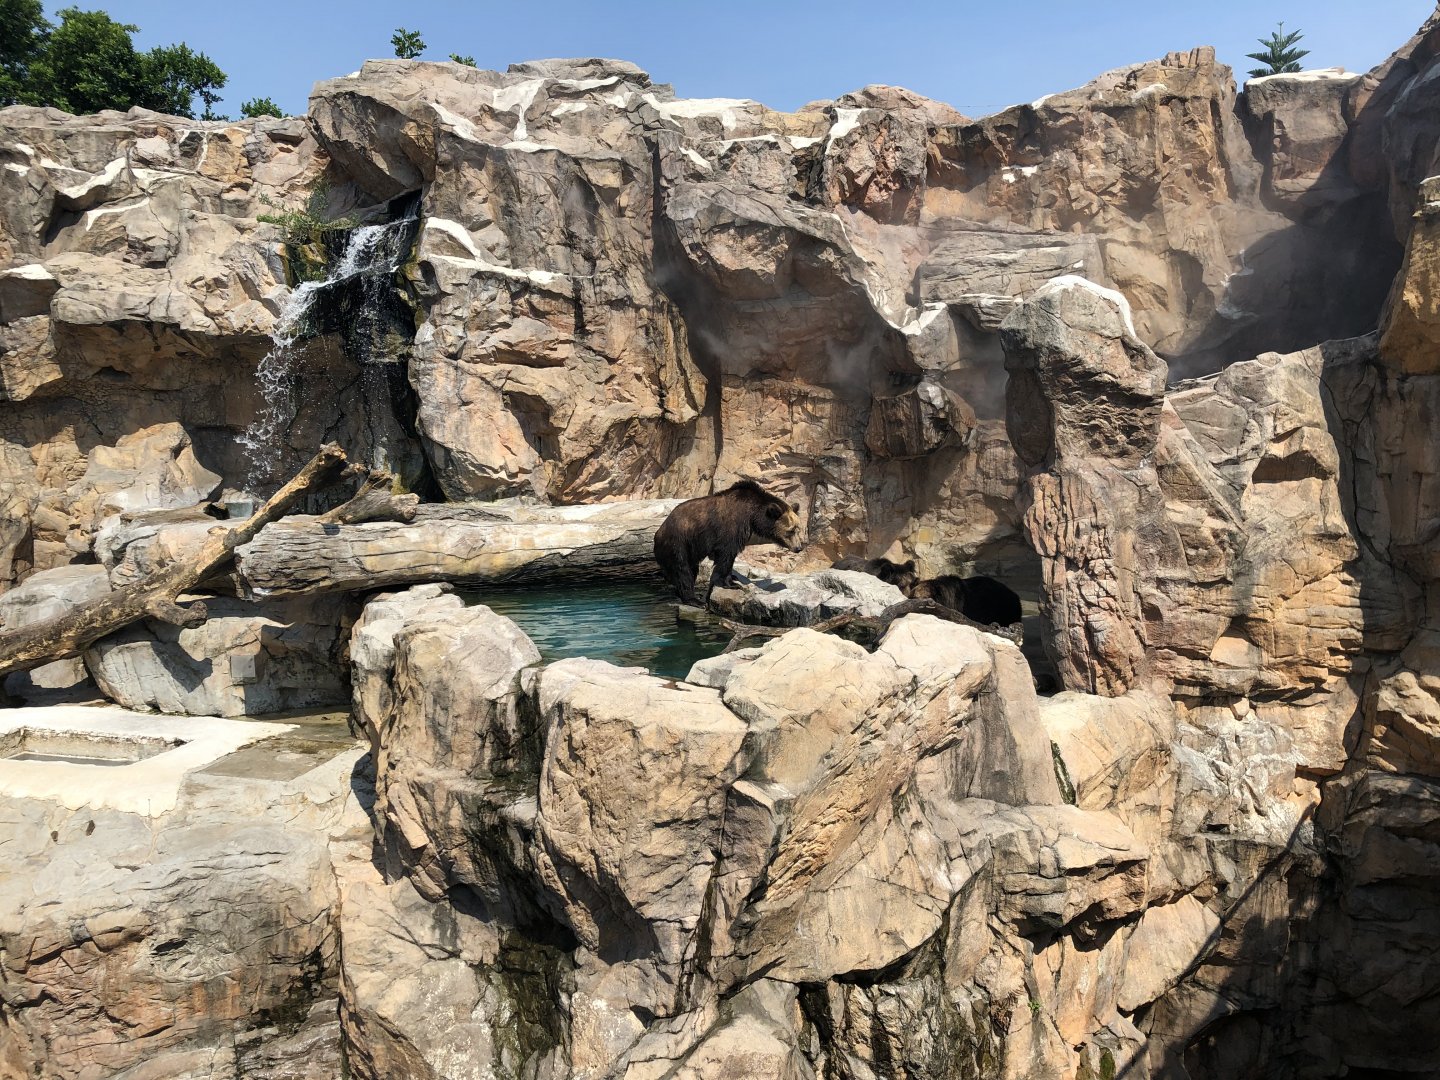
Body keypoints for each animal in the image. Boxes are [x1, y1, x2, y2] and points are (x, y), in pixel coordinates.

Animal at [653, 480, 805, 605]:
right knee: (682, 569)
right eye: (790, 531)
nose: (798, 548)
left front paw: (733, 578)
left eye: (798, 529)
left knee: (691, 568)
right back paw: (693, 599)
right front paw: (729, 583)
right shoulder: (731, 526)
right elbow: (726, 555)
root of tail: (658, 532)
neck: (752, 514)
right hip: (679, 542)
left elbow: (730, 557)